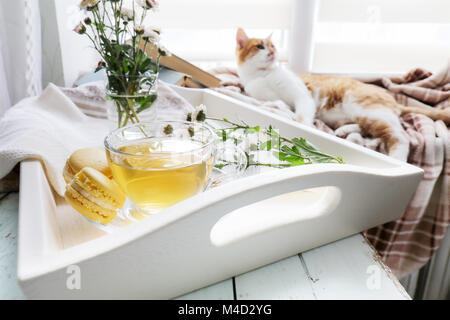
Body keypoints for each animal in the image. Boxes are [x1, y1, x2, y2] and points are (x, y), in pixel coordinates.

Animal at [236, 27, 450, 161]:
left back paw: (397, 158)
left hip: (363, 108)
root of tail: (394, 101)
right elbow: (282, 107)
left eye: (273, 46)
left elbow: (301, 116)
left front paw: (303, 127)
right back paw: (343, 131)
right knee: (367, 130)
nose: (272, 53)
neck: (261, 75)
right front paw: (274, 108)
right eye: (260, 46)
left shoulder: (302, 96)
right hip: (356, 115)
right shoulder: (273, 97)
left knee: (399, 136)